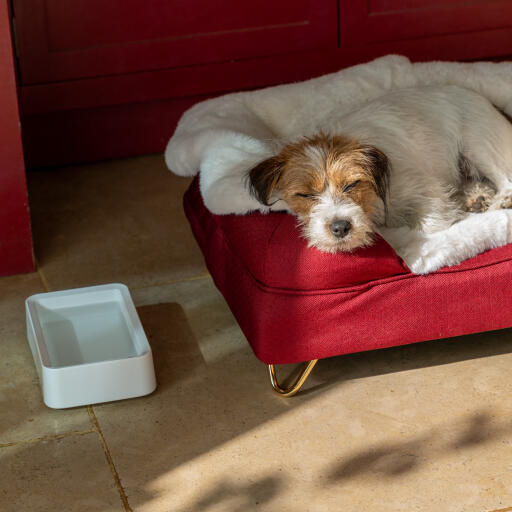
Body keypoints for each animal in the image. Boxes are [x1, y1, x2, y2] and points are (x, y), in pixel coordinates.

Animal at [246, 86, 512, 254]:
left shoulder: (424, 190)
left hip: (478, 143)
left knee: (504, 178)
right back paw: (477, 198)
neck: (374, 199)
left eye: (352, 184)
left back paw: (500, 201)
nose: (340, 228)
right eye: (305, 195)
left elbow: (430, 227)